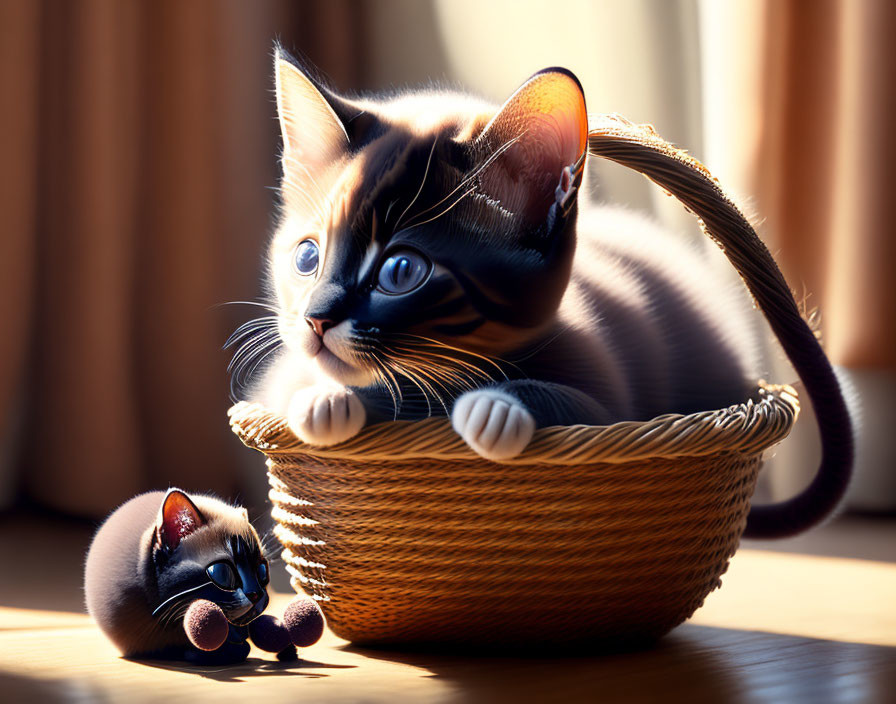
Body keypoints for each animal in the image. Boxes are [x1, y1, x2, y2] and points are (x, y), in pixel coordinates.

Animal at [229, 46, 848, 536]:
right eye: (307, 257)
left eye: (401, 272)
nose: (316, 318)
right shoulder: (276, 381)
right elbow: (300, 389)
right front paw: (323, 399)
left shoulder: (611, 408)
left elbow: (567, 402)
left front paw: (495, 407)